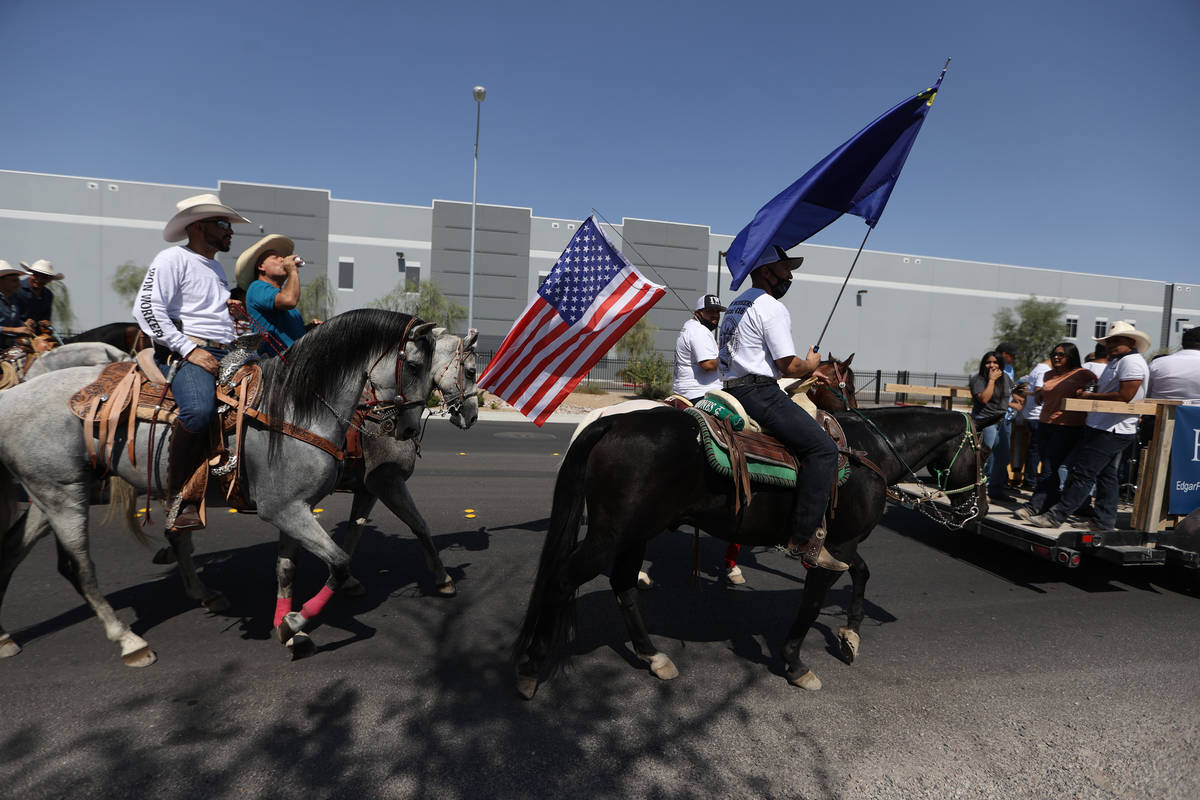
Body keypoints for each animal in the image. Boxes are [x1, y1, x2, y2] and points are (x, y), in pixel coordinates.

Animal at [0, 309, 432, 666]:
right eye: (412, 365)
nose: (410, 430)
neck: (295, 409)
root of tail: (12, 395)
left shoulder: (296, 508)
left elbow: (287, 569)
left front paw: (288, 629)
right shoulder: (286, 509)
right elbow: (340, 562)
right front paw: (295, 622)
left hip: (56, 492)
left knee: (14, 550)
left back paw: (5, 638)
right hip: (62, 496)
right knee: (80, 567)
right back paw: (129, 642)